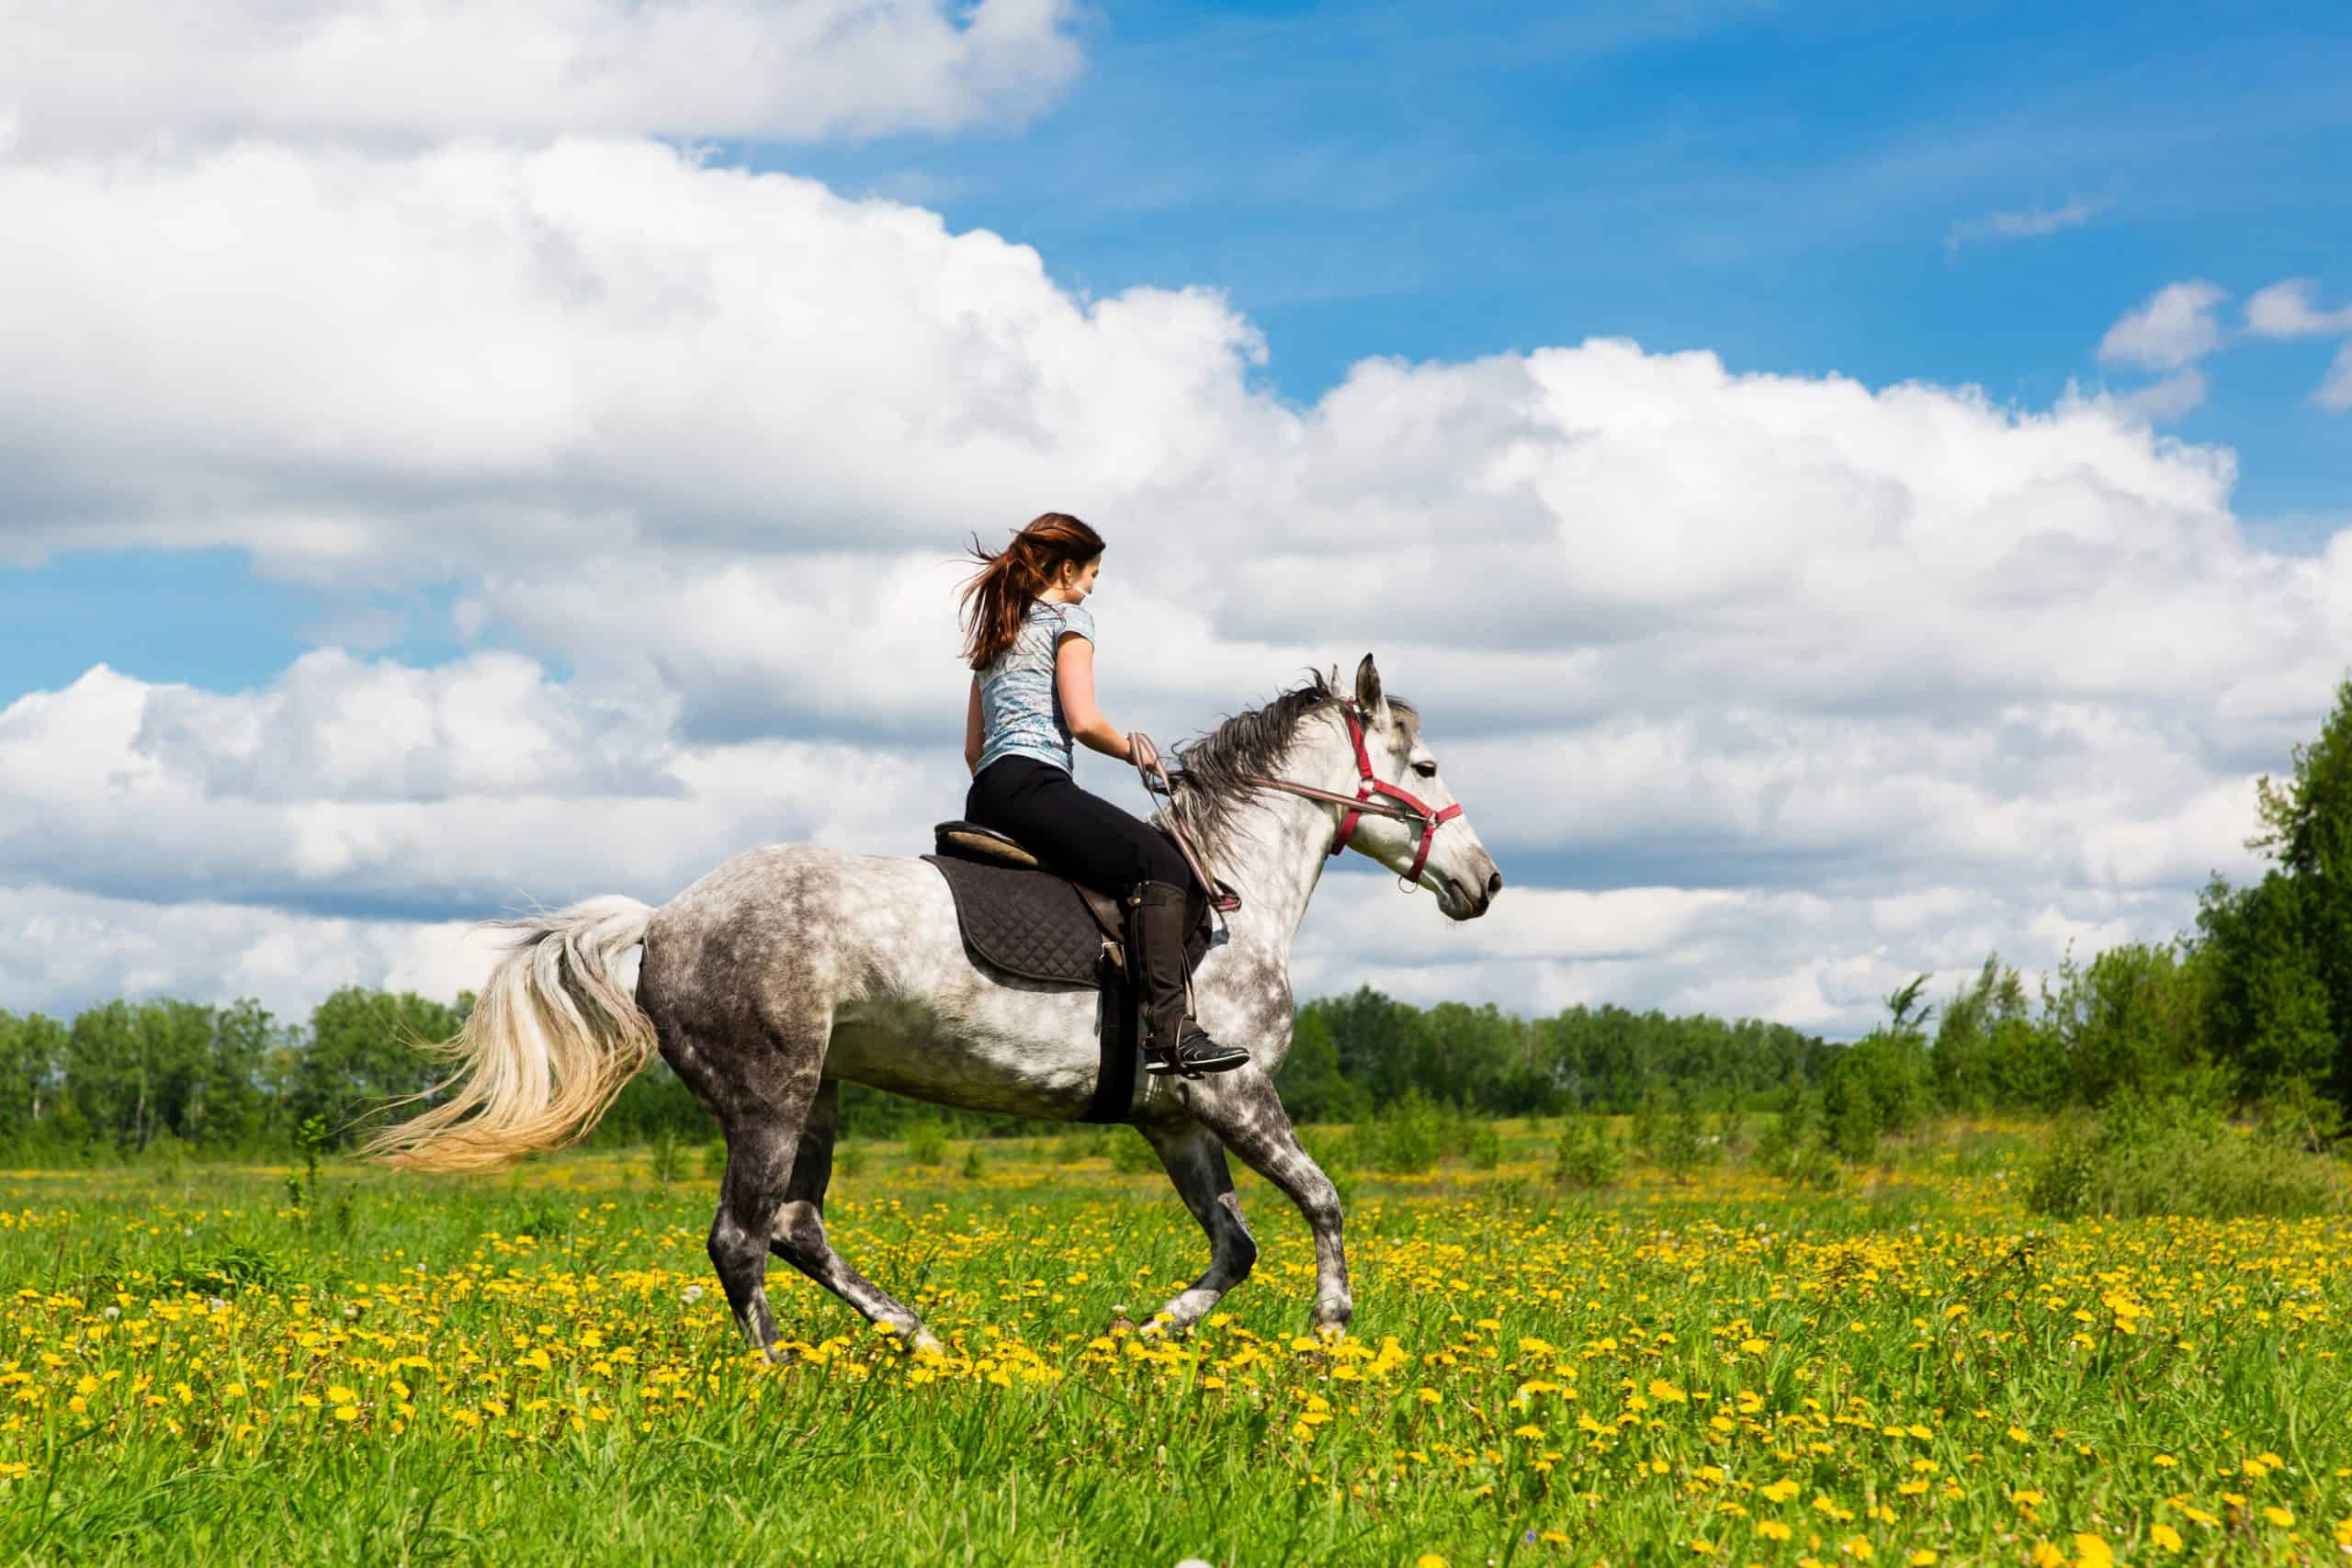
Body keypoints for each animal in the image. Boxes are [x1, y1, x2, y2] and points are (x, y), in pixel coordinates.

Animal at [374, 658, 1496, 1354]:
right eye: (1428, 766)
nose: (1482, 883)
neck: (1229, 895)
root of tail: (663, 919)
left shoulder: (1174, 1118)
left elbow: (1234, 1244)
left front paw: (1141, 1335)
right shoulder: (1235, 1092)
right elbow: (1323, 1201)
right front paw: (1329, 1331)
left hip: (816, 1095)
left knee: (796, 1227)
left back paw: (919, 1339)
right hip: (768, 1097)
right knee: (742, 1239)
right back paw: (783, 1373)